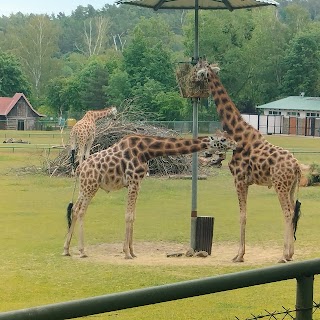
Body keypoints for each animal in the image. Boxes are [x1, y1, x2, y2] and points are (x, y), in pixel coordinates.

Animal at [63, 131, 238, 258]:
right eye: (223, 139)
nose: (236, 144)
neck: (148, 151)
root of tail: (79, 169)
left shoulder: (137, 182)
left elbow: (133, 216)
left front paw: (132, 251)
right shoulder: (133, 180)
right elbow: (128, 215)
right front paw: (126, 253)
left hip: (85, 187)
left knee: (75, 209)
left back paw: (66, 249)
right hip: (91, 186)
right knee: (81, 211)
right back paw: (82, 251)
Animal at [194, 59, 302, 262]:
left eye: (199, 71)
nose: (193, 79)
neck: (238, 132)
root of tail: (297, 167)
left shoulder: (239, 179)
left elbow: (242, 215)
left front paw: (239, 255)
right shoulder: (246, 181)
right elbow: (245, 213)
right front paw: (240, 254)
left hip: (280, 185)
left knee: (288, 211)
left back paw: (284, 255)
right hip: (291, 187)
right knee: (293, 211)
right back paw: (290, 254)